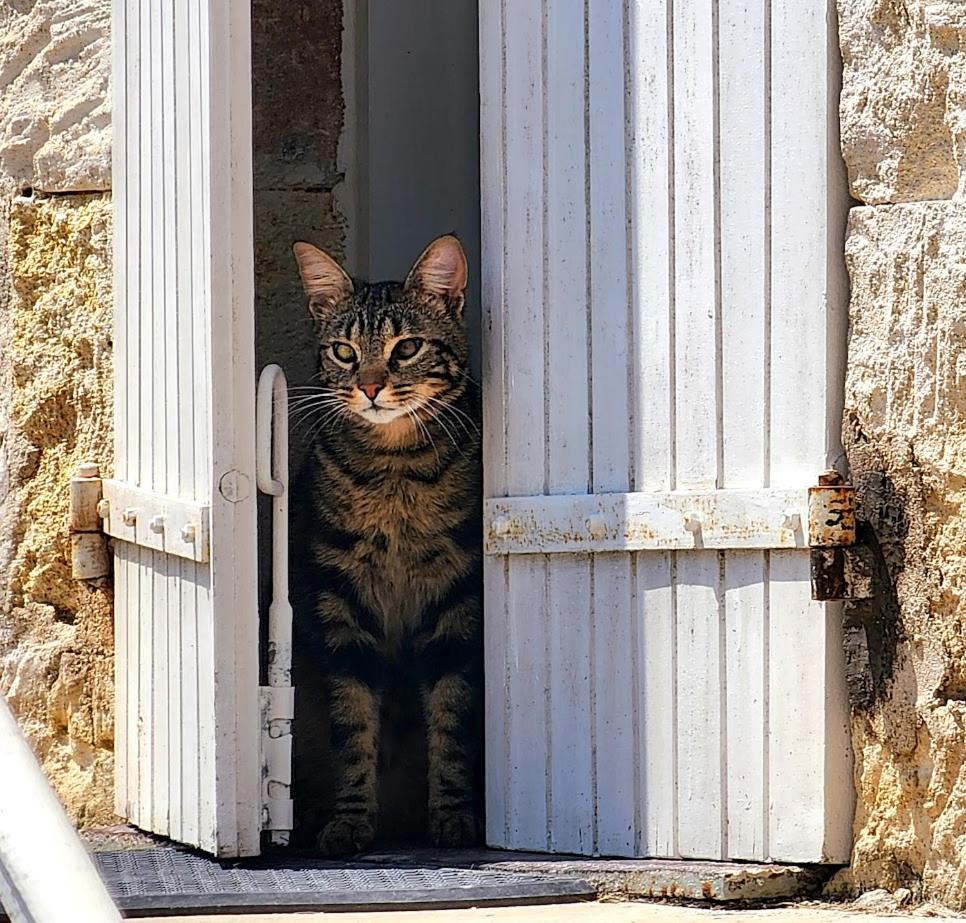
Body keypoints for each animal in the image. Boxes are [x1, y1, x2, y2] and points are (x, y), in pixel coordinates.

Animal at [290, 235, 482, 856]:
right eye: (345, 352)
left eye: (408, 347)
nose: (370, 387)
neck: (395, 468)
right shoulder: (339, 603)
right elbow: (352, 722)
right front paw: (350, 820)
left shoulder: (457, 603)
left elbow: (451, 716)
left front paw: (454, 816)